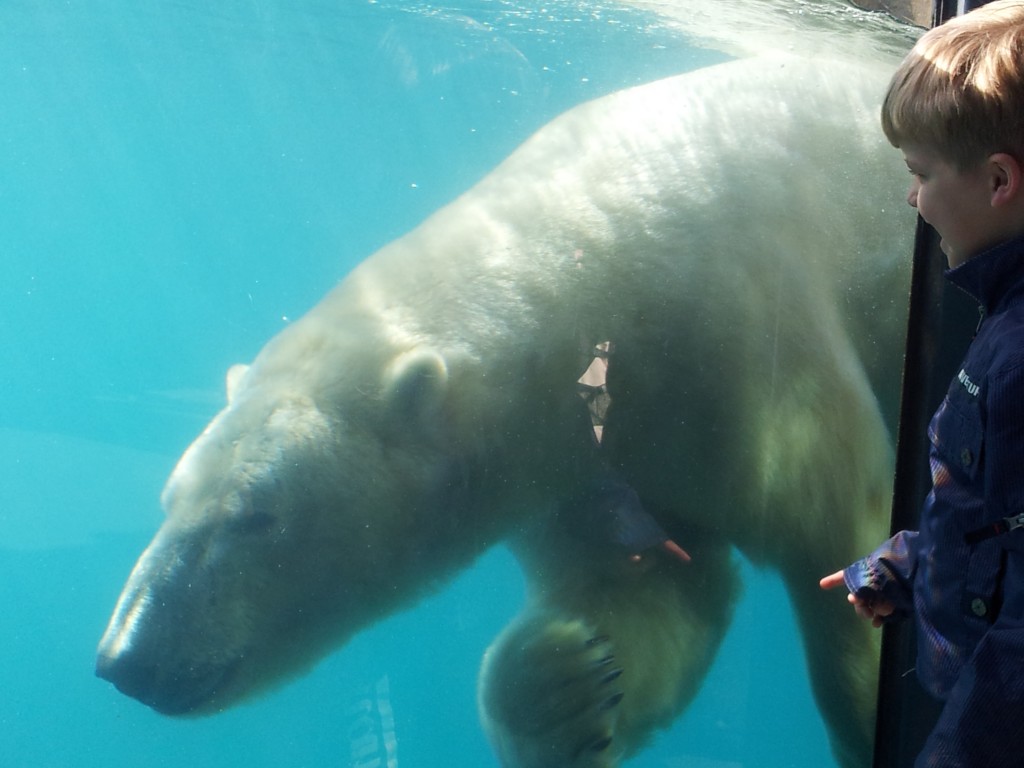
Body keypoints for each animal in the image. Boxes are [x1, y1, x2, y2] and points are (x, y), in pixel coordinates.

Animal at [96, 54, 913, 768]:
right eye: (171, 497)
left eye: (255, 515)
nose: (125, 660)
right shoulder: (588, 458)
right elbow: (659, 586)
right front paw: (565, 688)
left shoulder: (741, 341)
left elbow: (830, 524)